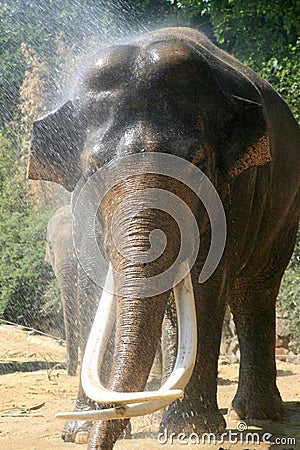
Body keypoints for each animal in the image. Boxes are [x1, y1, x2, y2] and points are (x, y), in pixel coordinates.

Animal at [27, 28, 298, 450]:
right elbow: (93, 287)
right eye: (93, 168)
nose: (100, 439)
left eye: (199, 165)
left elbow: (207, 282)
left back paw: (256, 414)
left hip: (285, 211)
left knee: (253, 292)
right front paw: (80, 429)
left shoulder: (237, 190)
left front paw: (190, 431)